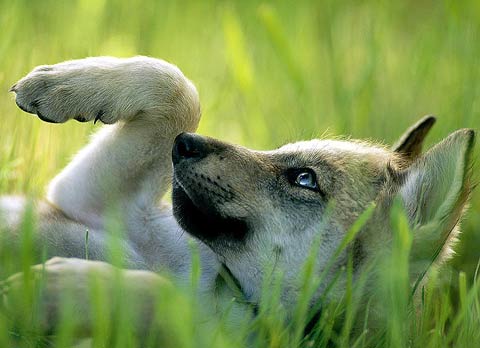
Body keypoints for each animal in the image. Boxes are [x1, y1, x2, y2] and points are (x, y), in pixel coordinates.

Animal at [0, 56, 474, 340]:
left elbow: (164, 299)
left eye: (305, 179)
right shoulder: (90, 200)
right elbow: (176, 85)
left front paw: (60, 289)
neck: (223, 284)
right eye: (283, 154)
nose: (183, 144)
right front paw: (55, 84)